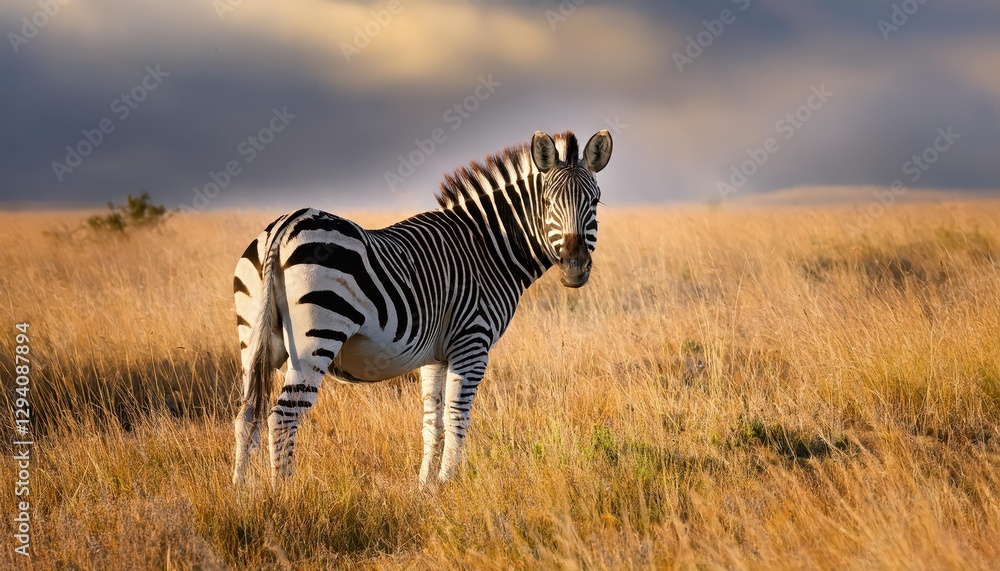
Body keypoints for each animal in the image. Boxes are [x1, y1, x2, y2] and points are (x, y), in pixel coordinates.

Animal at [232, 130, 613, 486]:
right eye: (548, 203)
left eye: (594, 202)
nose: (574, 268)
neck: (488, 247)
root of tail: (285, 224)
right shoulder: (471, 343)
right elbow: (457, 416)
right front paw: (450, 482)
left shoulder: (435, 357)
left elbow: (433, 421)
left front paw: (427, 487)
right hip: (315, 339)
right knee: (283, 416)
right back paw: (284, 493)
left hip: (254, 339)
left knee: (247, 414)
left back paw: (242, 492)